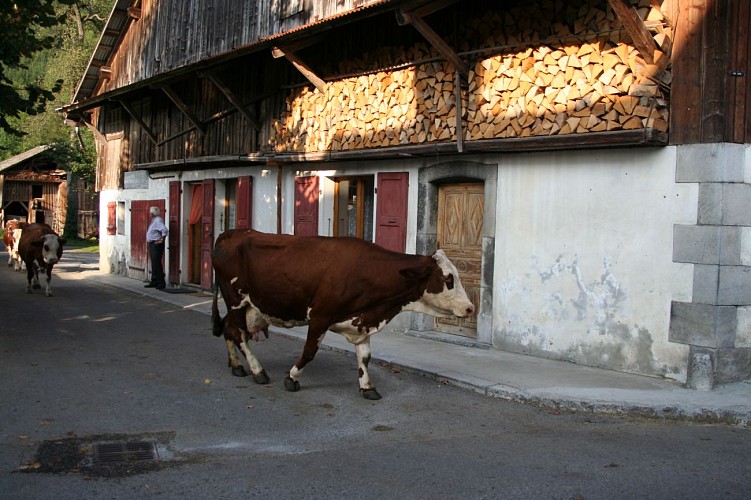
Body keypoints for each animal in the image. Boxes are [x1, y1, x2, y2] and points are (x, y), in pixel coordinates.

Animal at [212, 229, 472, 398]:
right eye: (448, 279)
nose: (470, 308)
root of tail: (234, 232)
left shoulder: (362, 322)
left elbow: (365, 357)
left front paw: (367, 387)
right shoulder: (320, 316)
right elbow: (309, 352)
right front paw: (292, 378)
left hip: (247, 307)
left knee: (228, 329)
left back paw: (236, 365)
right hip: (236, 300)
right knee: (238, 334)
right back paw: (258, 371)